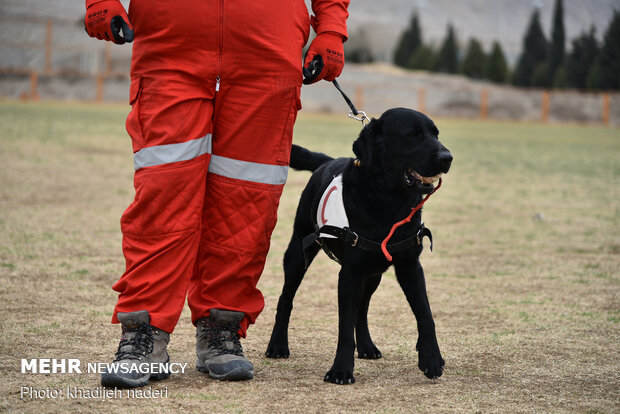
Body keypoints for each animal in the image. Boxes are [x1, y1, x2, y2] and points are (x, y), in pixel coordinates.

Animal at [264, 107, 452, 384]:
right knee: (286, 299)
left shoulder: (409, 266)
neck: (387, 202)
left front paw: (431, 358)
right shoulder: (350, 274)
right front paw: (341, 370)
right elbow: (344, 326)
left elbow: (425, 315)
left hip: (373, 272)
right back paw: (277, 344)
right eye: (414, 135)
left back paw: (366, 346)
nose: (447, 157)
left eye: (435, 134)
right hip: (298, 253)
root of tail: (326, 162)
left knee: (362, 310)